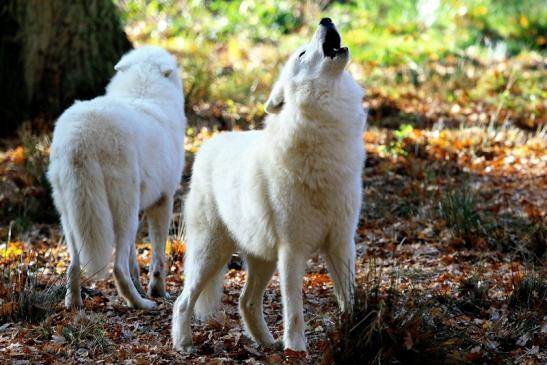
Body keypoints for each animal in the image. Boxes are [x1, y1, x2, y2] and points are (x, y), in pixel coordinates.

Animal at [47, 44, 184, 308]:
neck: (143, 91)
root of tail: (81, 135)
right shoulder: (163, 201)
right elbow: (157, 258)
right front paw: (157, 292)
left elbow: (134, 260)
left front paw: (141, 286)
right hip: (124, 214)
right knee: (117, 268)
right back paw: (141, 305)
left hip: (70, 218)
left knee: (73, 266)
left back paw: (74, 304)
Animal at [172, 18, 368, 352]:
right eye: (302, 53)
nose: (326, 20)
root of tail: (208, 144)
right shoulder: (292, 251)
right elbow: (294, 311)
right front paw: (296, 350)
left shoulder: (342, 244)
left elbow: (349, 299)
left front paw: (353, 333)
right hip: (211, 252)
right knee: (183, 301)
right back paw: (184, 344)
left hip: (261, 258)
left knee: (245, 301)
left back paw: (266, 344)